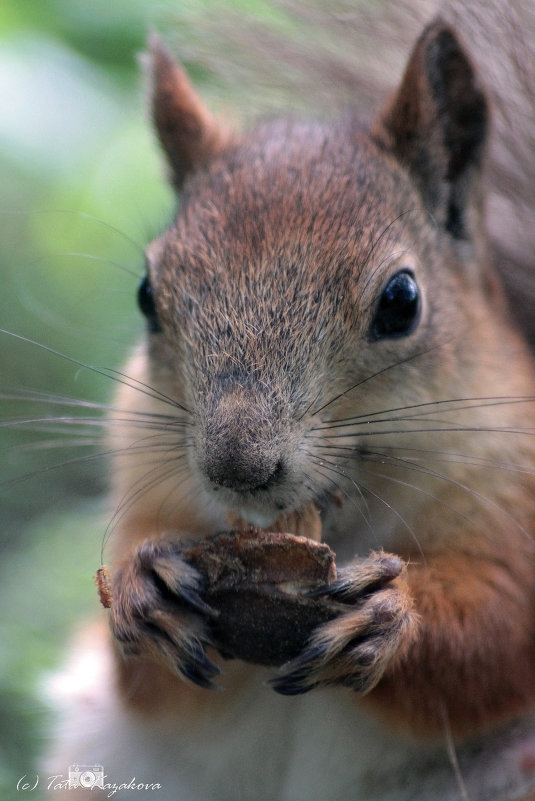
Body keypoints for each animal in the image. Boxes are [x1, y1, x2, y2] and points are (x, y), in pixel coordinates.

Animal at [43, 6, 535, 800]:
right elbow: (143, 681)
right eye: (147, 295)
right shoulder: (144, 475)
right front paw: (142, 586)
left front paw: (391, 615)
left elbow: (502, 628)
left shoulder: (515, 495)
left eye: (402, 300)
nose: (236, 467)